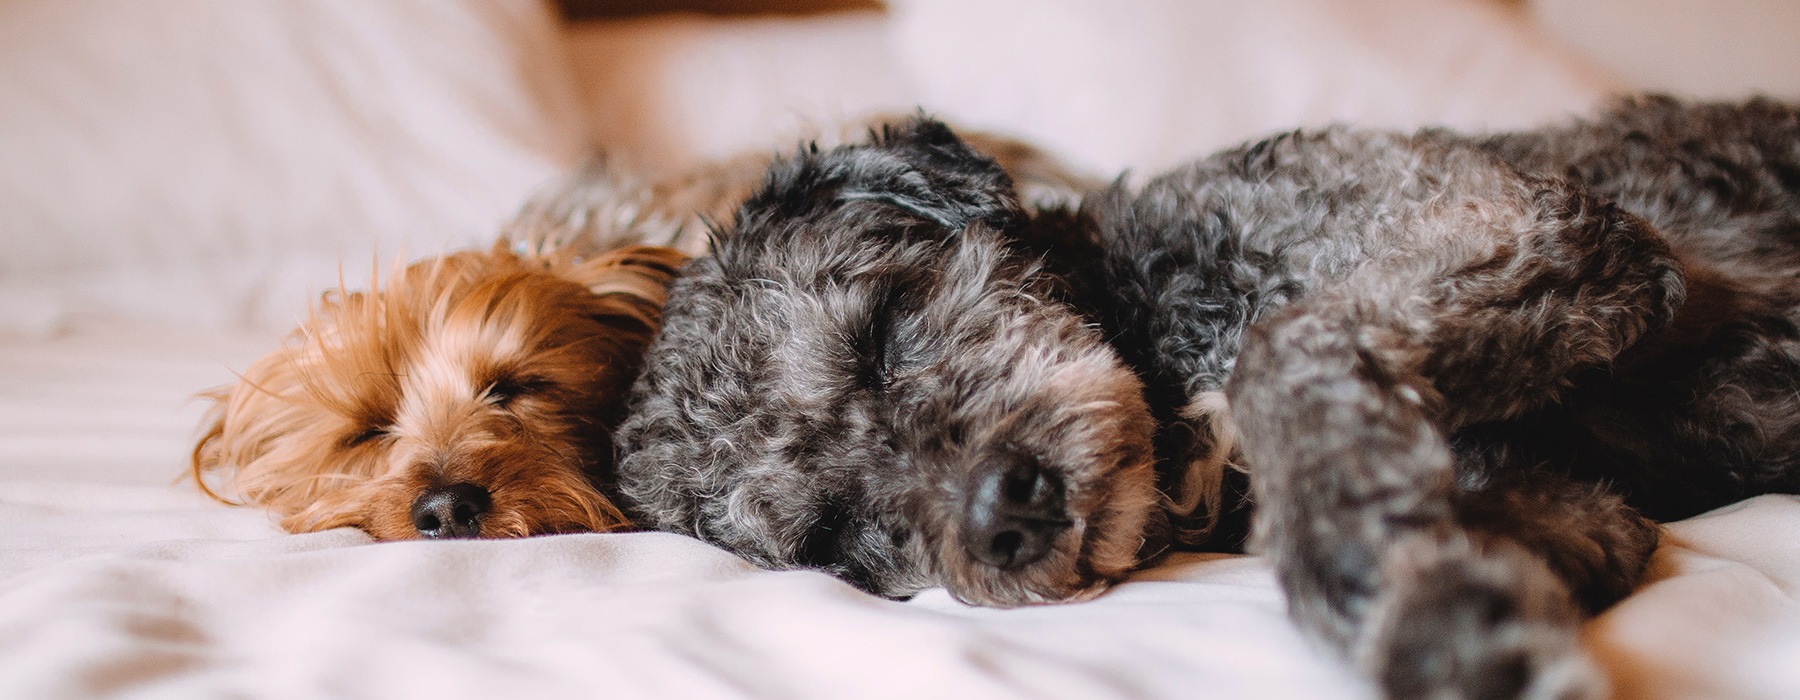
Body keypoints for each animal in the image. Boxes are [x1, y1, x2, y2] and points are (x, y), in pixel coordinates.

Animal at [608, 98, 1800, 698]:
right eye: (837, 537)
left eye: (883, 332)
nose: (1003, 515)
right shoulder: (1586, 503)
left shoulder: (1533, 222)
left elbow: (1284, 351)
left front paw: (1420, 613)